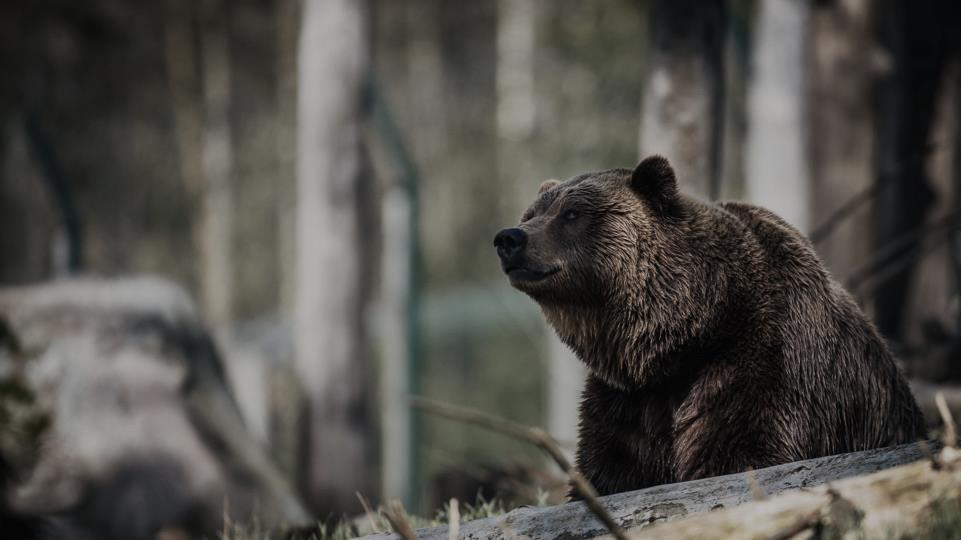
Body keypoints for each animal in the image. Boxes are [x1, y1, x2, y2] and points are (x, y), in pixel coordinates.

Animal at [492, 155, 928, 494]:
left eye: (573, 214)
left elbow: (741, 452)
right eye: (532, 213)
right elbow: (610, 470)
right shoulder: (628, 401)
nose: (509, 238)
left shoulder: (765, 363)